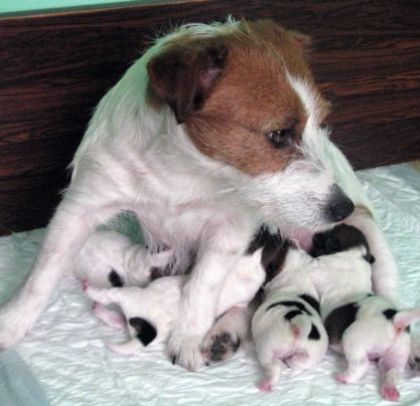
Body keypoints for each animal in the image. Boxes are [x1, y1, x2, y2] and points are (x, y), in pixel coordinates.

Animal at [0, 19, 398, 372]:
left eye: (321, 123)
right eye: (279, 134)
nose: (341, 207)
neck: (185, 168)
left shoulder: (229, 229)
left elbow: (202, 284)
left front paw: (187, 337)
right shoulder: (83, 204)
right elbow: (42, 274)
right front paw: (13, 323)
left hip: (367, 232)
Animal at [251, 243, 330, 392]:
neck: (295, 270)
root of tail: (298, 323)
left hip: (266, 347)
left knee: (274, 367)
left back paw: (267, 383)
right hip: (311, 355)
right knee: (296, 363)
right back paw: (288, 361)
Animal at [308, 224, 420, 402]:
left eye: (321, 239)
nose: (315, 235)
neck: (355, 253)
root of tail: (394, 319)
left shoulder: (319, 266)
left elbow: (308, 262)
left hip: (353, 338)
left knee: (361, 365)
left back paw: (345, 377)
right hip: (398, 351)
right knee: (392, 370)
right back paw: (390, 389)